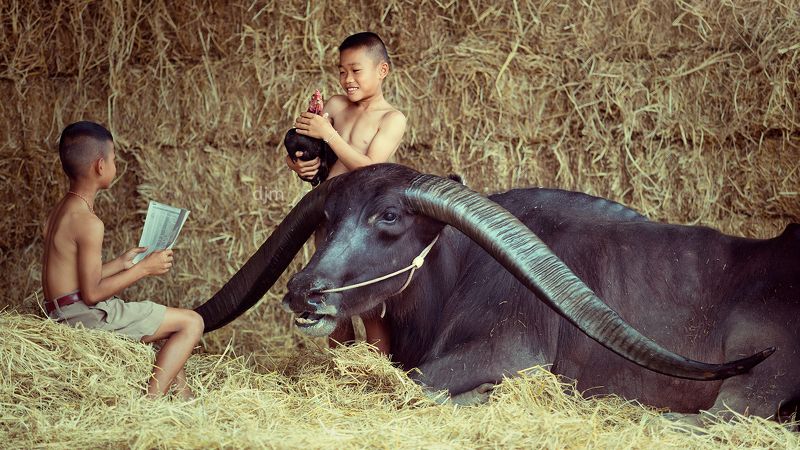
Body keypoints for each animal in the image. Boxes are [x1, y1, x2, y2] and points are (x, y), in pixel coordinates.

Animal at [194, 164, 800, 424]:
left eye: (389, 216)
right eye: (326, 219)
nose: (305, 292)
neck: (462, 273)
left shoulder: (506, 350)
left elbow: (412, 386)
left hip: (755, 379)